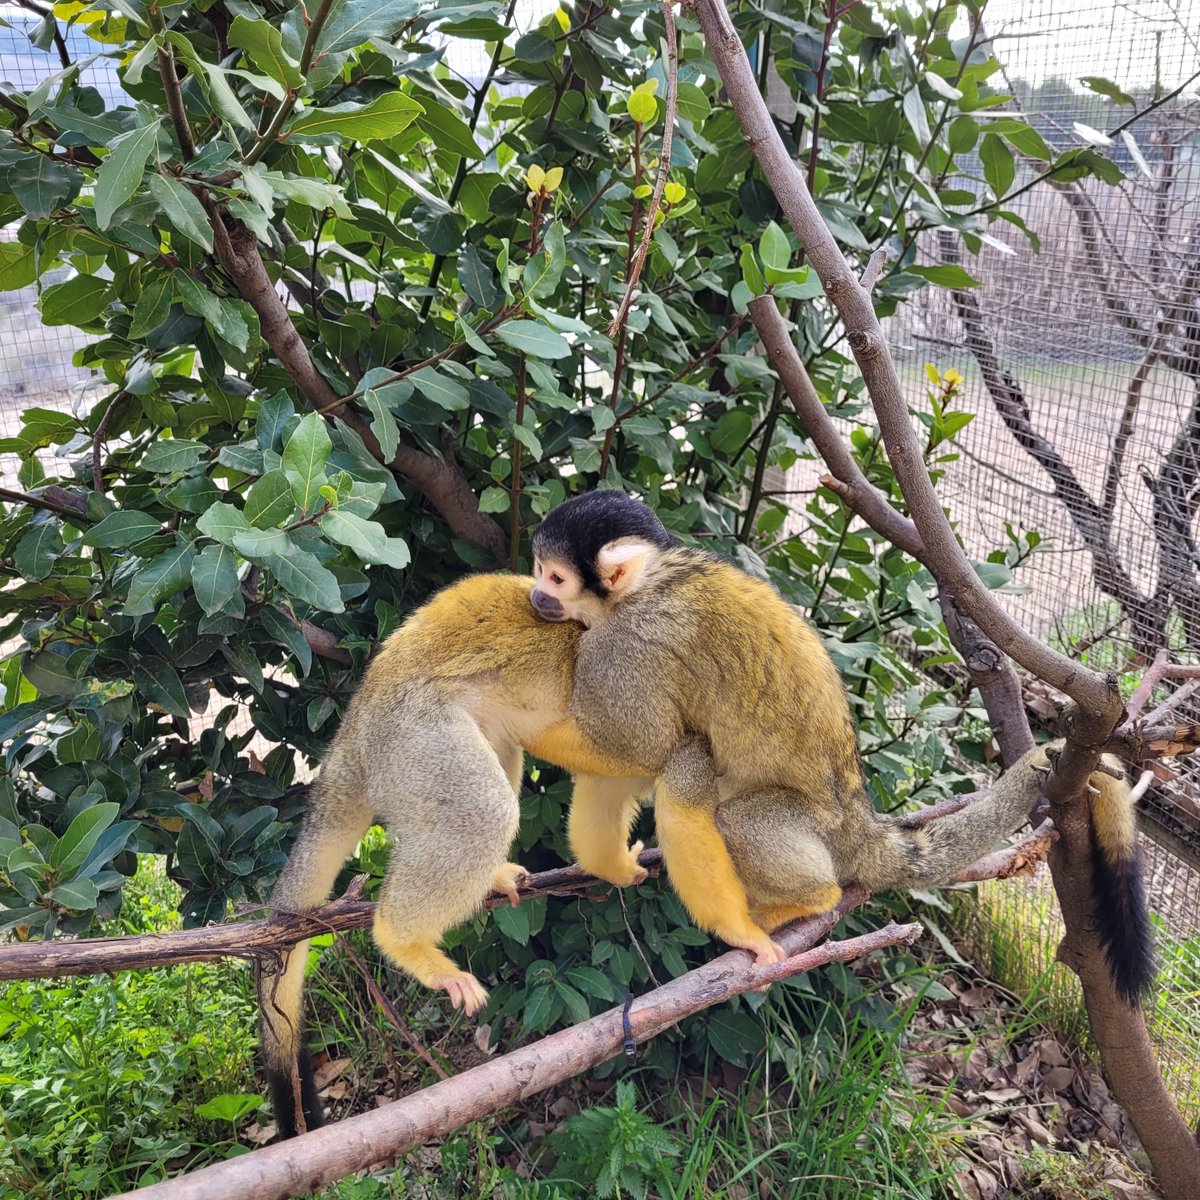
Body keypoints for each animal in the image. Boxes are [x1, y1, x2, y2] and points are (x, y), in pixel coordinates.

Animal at [527, 489, 1154, 1005]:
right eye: (538, 571)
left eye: (554, 578)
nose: (536, 594)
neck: (648, 581)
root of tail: (860, 823)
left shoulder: (629, 644)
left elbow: (640, 744)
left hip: (814, 829)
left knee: (736, 819)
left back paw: (807, 901)